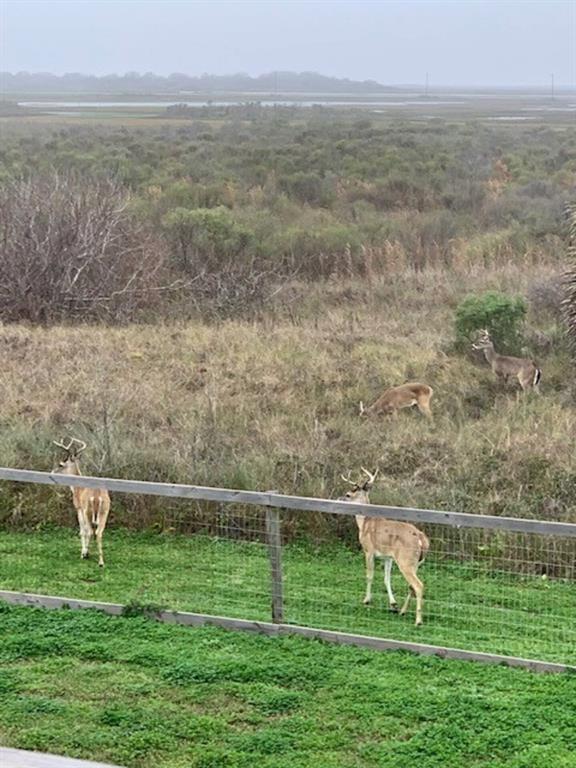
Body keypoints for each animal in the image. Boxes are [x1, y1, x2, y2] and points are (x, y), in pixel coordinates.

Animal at [52, 436, 111, 568]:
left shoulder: (78, 508)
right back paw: (101, 561)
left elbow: (82, 531)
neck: (76, 488)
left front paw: (84, 552)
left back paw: (85, 555)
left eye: (61, 464)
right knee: (99, 532)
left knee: (90, 531)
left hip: (87, 510)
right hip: (105, 511)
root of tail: (97, 496)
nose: (52, 472)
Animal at [338, 468, 428, 624]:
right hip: (416, 562)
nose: (341, 498)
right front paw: (393, 604)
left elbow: (369, 575)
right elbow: (386, 579)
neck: (365, 523)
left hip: (405, 560)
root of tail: (421, 538)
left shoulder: (368, 550)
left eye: (348, 494)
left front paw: (366, 600)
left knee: (418, 585)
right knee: (411, 586)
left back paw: (418, 620)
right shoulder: (388, 557)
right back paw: (402, 611)